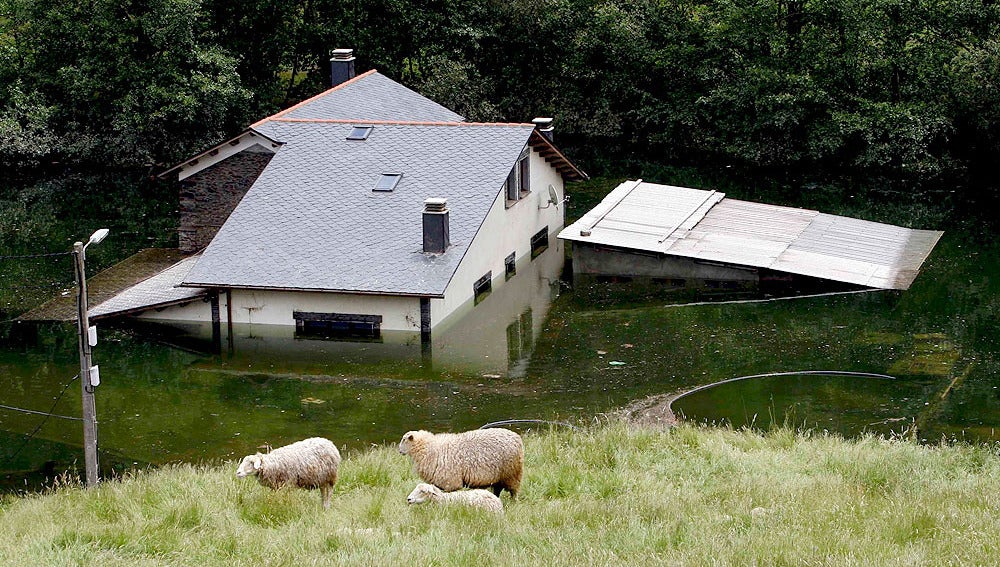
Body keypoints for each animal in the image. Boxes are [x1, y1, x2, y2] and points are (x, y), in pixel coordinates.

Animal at [396, 428, 524, 500]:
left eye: (404, 439)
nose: (399, 451)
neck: (429, 448)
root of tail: (517, 438)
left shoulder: (450, 481)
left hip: (512, 473)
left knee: (514, 491)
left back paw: (513, 502)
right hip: (500, 477)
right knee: (498, 489)